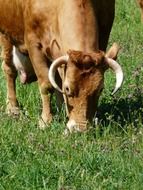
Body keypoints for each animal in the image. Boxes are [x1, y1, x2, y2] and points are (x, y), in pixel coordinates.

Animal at [0, 0, 123, 133]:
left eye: (100, 89)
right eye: (67, 88)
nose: (80, 129)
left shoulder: (105, 32)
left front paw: (63, 114)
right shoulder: (33, 44)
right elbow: (47, 85)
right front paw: (45, 121)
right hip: (6, 35)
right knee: (9, 69)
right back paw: (13, 109)